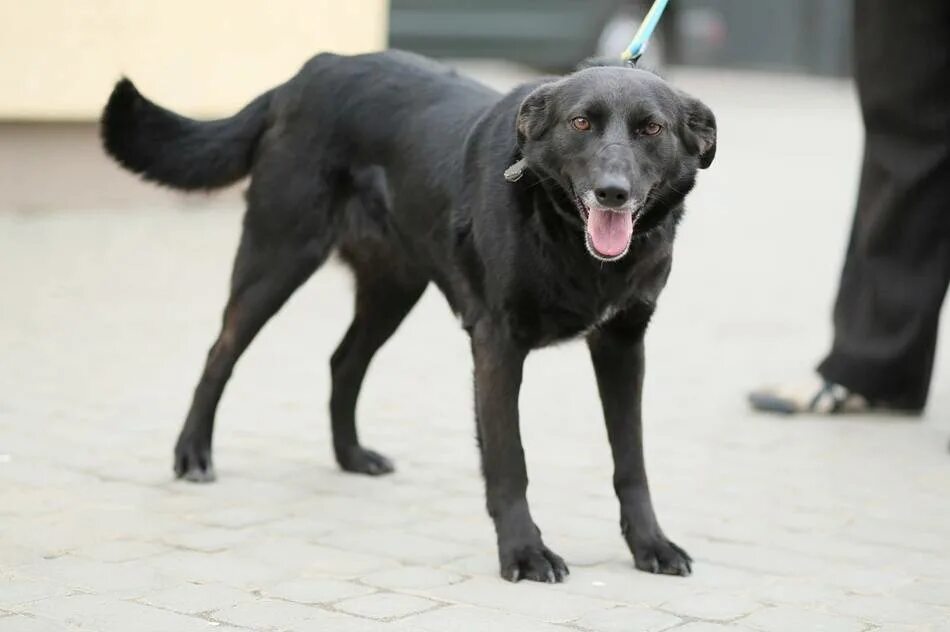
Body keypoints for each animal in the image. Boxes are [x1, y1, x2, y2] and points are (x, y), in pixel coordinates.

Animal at [102, 49, 712, 584]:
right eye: (581, 122)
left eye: (651, 129)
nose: (613, 193)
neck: (560, 228)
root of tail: (308, 72)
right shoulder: (498, 344)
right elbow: (509, 460)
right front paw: (524, 553)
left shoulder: (623, 344)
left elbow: (631, 460)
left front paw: (650, 545)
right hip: (277, 257)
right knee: (221, 352)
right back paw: (193, 453)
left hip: (393, 287)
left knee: (343, 360)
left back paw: (351, 455)